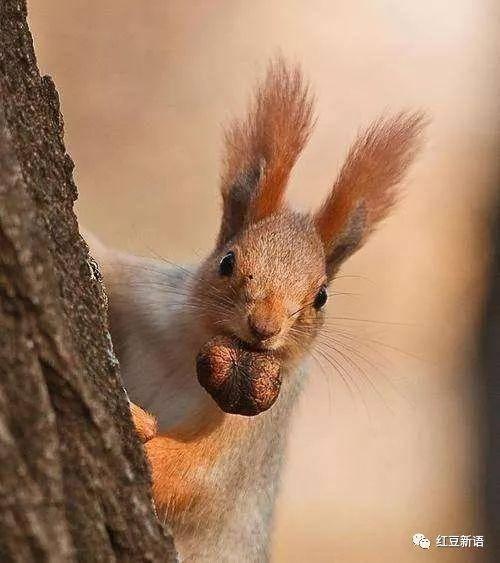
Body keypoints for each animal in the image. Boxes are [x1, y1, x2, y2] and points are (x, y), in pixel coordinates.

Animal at [88, 59, 424, 562]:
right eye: (227, 262)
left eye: (321, 297)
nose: (264, 326)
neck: (190, 353)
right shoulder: (147, 296)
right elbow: (104, 262)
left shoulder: (259, 426)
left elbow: (193, 475)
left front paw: (138, 426)